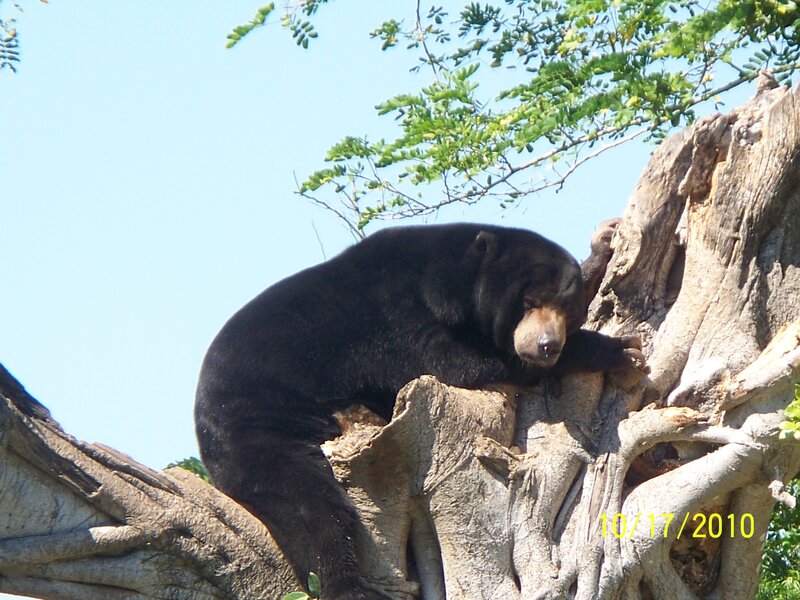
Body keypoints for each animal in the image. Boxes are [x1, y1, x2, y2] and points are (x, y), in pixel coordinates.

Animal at [194, 222, 643, 600]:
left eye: (565, 311)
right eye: (529, 301)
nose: (547, 345)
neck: (441, 282)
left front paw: (602, 246)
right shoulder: (393, 318)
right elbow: (455, 362)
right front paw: (615, 349)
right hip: (258, 428)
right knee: (309, 505)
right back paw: (349, 586)